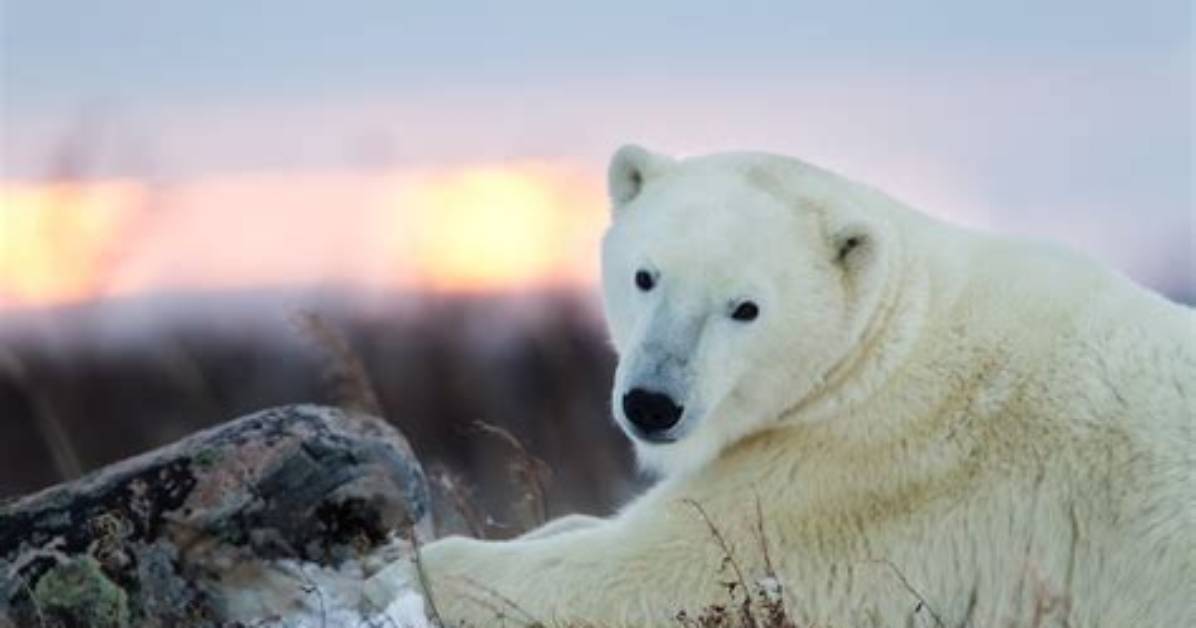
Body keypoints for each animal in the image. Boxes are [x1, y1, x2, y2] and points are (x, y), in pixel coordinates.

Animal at [378, 146, 1195, 626]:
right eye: (646, 275)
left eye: (745, 307)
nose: (652, 403)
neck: (882, 350)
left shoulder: (863, 481)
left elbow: (657, 572)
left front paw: (409, 570)